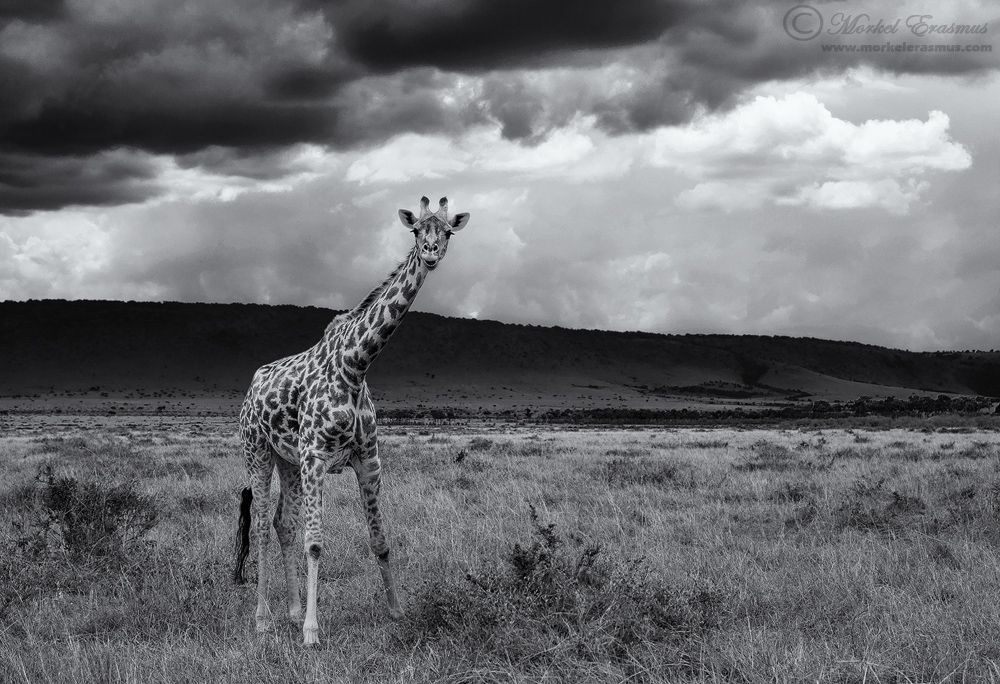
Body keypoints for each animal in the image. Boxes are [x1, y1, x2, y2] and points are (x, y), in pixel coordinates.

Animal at [233, 196, 471, 645]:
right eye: (416, 230)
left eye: (447, 231)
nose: (431, 254)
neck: (355, 365)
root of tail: (252, 388)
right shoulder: (316, 458)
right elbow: (315, 543)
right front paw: (312, 632)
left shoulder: (368, 460)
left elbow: (380, 540)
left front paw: (396, 611)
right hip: (258, 452)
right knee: (260, 528)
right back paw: (263, 618)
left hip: (288, 461)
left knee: (283, 523)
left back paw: (291, 610)